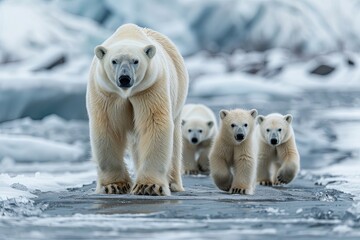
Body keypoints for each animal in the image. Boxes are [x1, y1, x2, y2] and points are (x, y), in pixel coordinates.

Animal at [86, 23, 188, 196]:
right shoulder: (106, 93)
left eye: (136, 61)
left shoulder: (149, 88)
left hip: (178, 91)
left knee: (174, 141)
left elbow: (154, 124)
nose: (124, 78)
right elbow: (108, 127)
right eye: (114, 61)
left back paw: (173, 183)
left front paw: (149, 186)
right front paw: (114, 186)